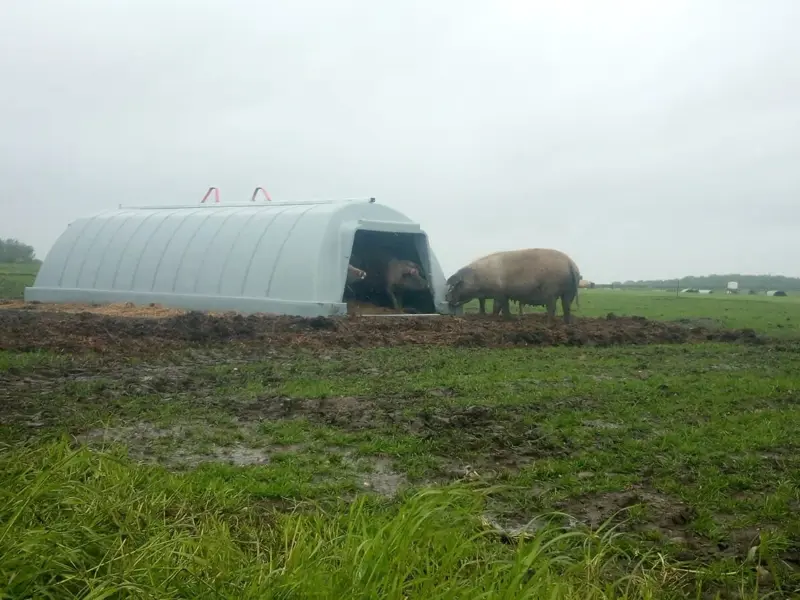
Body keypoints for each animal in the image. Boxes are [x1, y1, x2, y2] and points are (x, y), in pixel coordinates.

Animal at [446, 248, 580, 323]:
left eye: (453, 286)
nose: (446, 298)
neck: (477, 279)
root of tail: (570, 263)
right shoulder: (494, 295)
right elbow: (495, 307)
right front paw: (492, 317)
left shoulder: (500, 293)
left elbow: (503, 306)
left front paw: (509, 319)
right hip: (570, 292)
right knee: (566, 306)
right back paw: (566, 323)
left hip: (551, 290)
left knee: (552, 307)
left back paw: (548, 324)